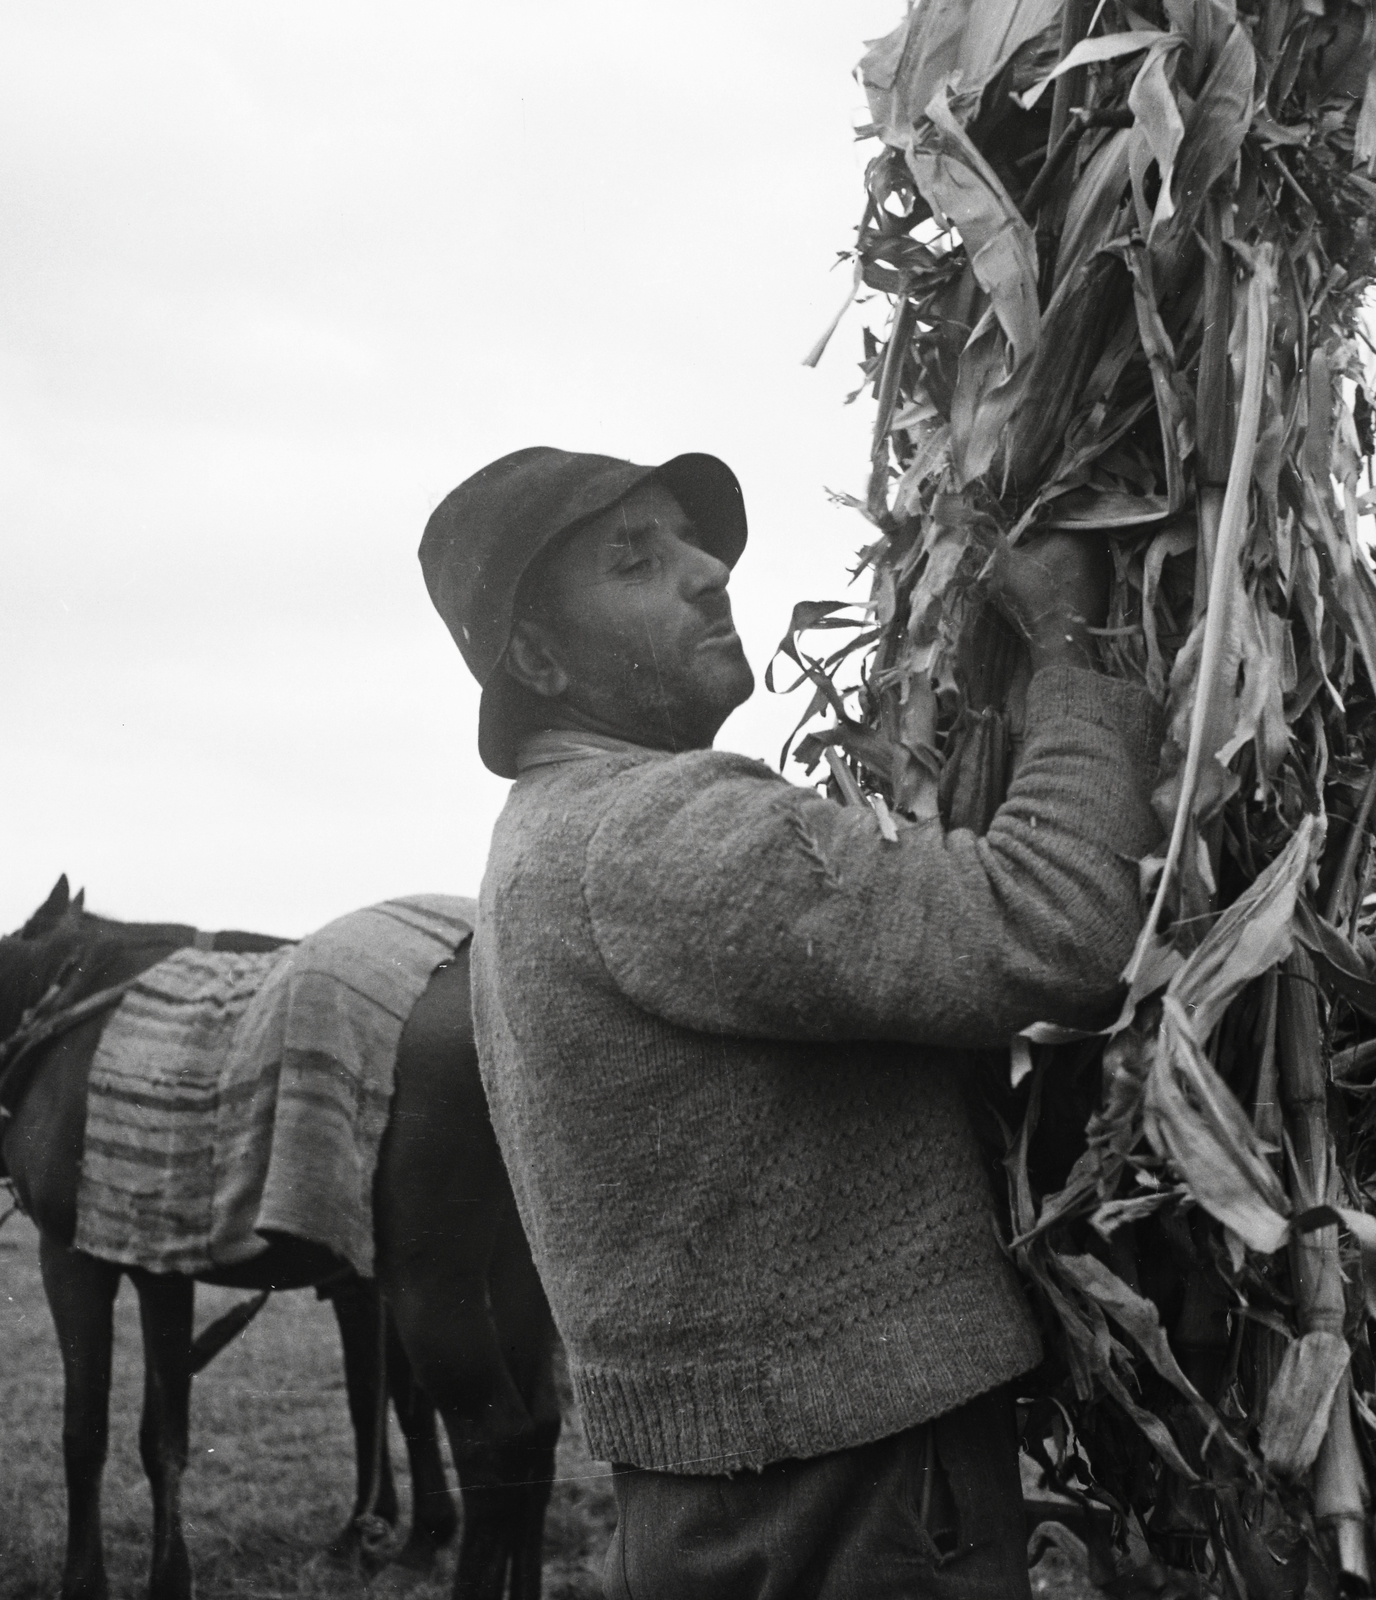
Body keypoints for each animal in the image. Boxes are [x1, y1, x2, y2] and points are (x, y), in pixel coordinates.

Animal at [1, 876, 560, 1600]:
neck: (64, 997)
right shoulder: (159, 1267)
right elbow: (165, 1438)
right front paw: (169, 1578)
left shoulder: (71, 1258)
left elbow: (85, 1431)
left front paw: (84, 1581)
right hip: (523, 1275)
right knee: (540, 1431)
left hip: (431, 1287)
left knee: (494, 1443)